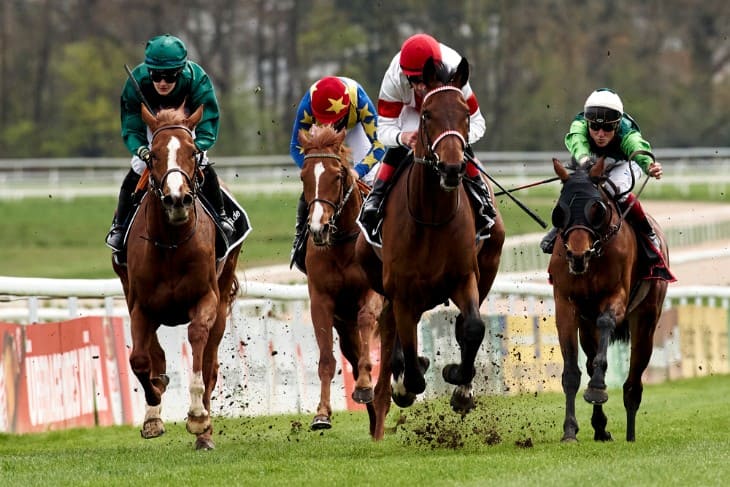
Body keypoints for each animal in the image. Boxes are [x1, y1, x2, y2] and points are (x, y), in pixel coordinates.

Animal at [111, 103, 239, 450]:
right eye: (153, 154)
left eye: (192, 152)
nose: (177, 199)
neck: (170, 243)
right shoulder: (140, 305)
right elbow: (140, 359)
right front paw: (153, 412)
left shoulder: (206, 298)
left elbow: (197, 344)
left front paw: (197, 417)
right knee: (154, 353)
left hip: (223, 298)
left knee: (209, 364)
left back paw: (205, 434)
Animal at [296, 125, 382, 430]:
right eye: (304, 176)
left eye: (337, 175)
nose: (318, 228)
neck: (344, 243)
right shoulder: (321, 301)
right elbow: (326, 359)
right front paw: (322, 413)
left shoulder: (372, 293)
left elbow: (367, 319)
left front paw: (366, 384)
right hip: (344, 324)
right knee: (353, 355)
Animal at [356, 58, 504, 442]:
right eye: (426, 115)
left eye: (465, 113)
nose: (452, 167)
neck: (433, 218)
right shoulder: (403, 291)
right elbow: (408, 352)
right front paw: (405, 384)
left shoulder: (464, 278)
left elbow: (473, 327)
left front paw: (459, 383)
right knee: (392, 325)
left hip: (488, 263)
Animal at [548, 156, 668, 442]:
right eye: (559, 211)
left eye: (597, 209)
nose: (577, 256)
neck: (595, 256)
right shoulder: (565, 305)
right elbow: (572, 371)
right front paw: (570, 430)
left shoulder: (617, 298)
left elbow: (606, 324)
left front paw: (598, 388)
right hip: (586, 325)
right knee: (592, 360)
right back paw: (600, 427)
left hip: (646, 319)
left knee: (633, 381)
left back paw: (630, 434)